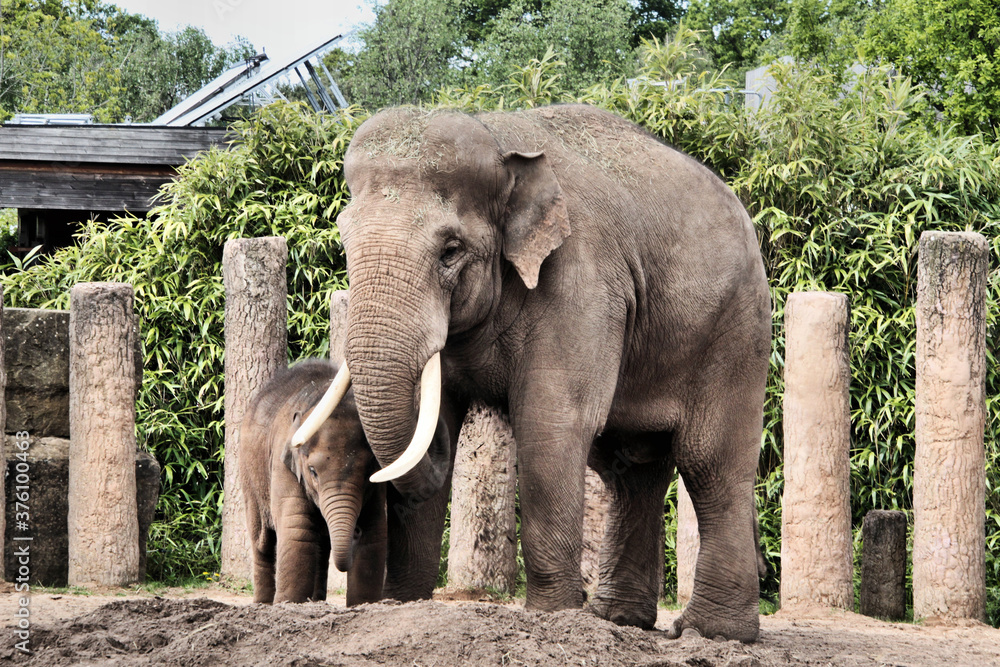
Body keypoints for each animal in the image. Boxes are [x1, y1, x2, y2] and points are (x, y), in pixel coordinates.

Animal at [241, 358, 459, 606]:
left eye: (369, 471)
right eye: (313, 471)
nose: (354, 531)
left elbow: (374, 533)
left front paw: (362, 604)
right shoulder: (283, 466)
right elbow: (298, 529)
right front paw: (288, 603)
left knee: (322, 544)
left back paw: (316, 601)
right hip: (249, 476)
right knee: (262, 541)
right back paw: (263, 602)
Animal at [294, 104, 771, 641]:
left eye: (451, 250)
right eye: (344, 242)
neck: (500, 141)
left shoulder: (580, 279)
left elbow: (553, 425)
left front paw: (553, 617)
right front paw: (402, 606)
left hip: (735, 330)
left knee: (710, 462)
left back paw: (711, 632)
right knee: (632, 465)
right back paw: (619, 619)